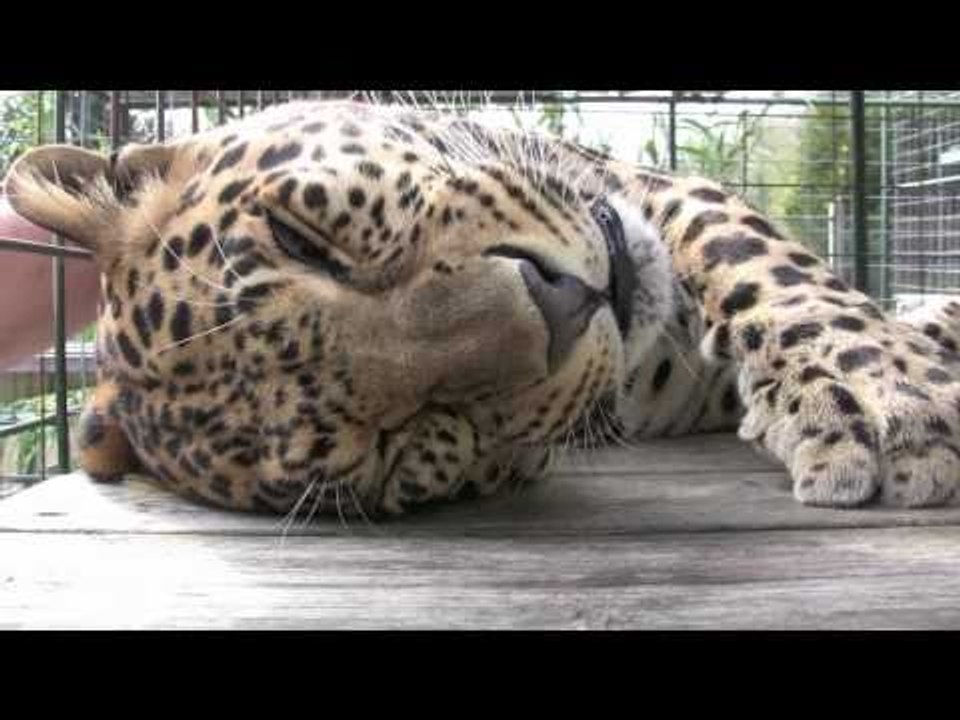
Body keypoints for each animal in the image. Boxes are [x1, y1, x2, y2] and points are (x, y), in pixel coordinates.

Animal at [6, 98, 960, 519]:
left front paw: (886, 397)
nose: (565, 299)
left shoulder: (648, 190)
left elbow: (759, 264)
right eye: (407, 444)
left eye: (302, 239)